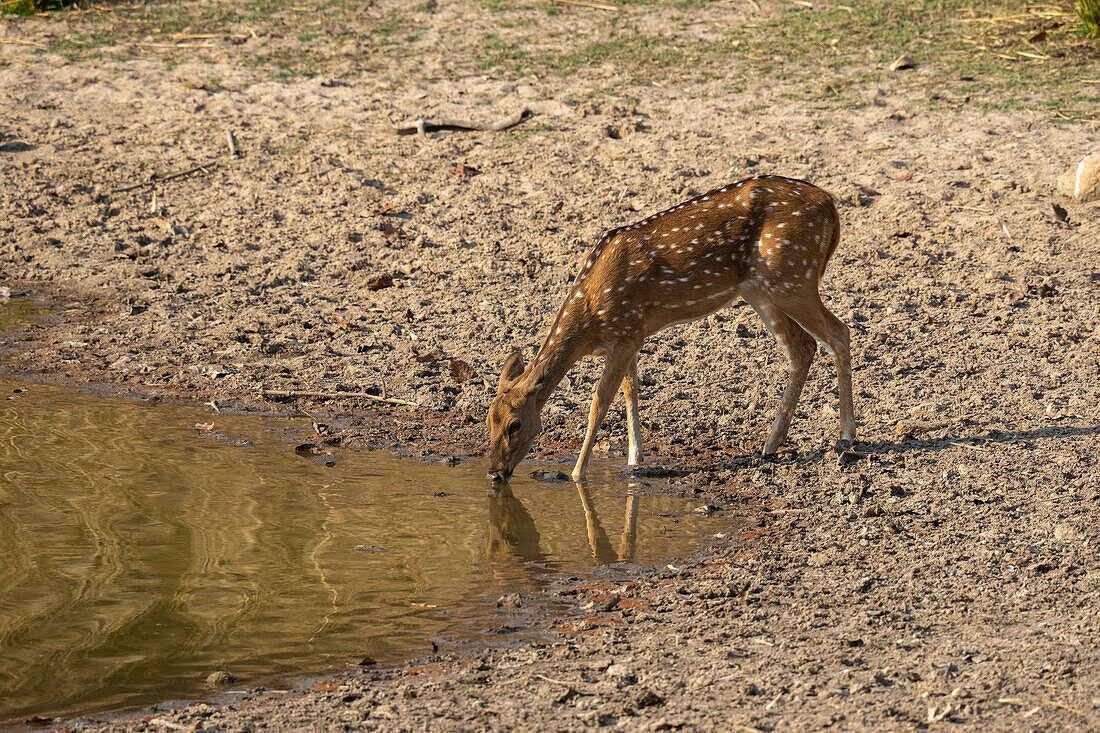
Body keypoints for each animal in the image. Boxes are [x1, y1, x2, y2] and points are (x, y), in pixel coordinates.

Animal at [486, 174, 853, 482]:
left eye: (515, 424)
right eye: (488, 418)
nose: (494, 474)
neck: (592, 314)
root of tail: (831, 205)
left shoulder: (626, 331)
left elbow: (599, 402)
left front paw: (578, 473)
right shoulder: (631, 335)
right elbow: (631, 391)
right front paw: (635, 459)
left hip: (794, 276)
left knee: (839, 333)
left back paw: (846, 435)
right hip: (761, 290)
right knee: (803, 347)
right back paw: (772, 444)